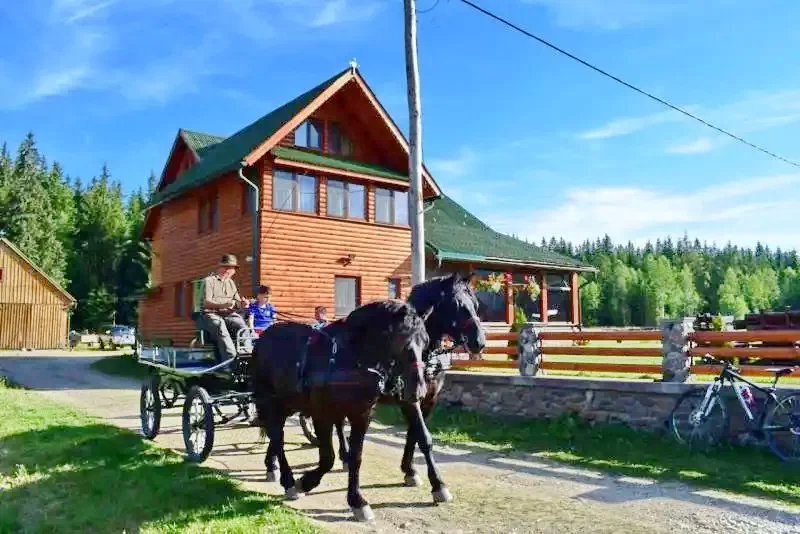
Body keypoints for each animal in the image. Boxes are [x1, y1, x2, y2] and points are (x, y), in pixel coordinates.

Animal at [255, 300, 432, 520]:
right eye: (401, 340)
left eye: (425, 342)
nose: (419, 390)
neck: (348, 358)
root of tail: (263, 337)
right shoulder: (321, 415)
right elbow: (327, 458)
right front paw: (304, 483)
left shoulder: (362, 415)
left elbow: (356, 457)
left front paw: (357, 501)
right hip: (270, 402)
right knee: (277, 437)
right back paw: (287, 481)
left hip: (288, 403)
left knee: (275, 435)